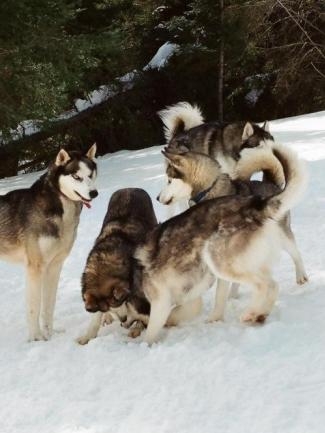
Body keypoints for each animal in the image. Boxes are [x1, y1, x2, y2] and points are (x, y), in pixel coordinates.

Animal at [0, 143, 98, 340]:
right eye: (76, 176)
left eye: (91, 174)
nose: (94, 193)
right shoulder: (35, 268)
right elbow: (34, 308)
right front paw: (36, 339)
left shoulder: (54, 266)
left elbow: (48, 306)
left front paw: (50, 334)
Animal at [136, 143, 306, 342]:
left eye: (169, 180)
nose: (157, 198)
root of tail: (258, 204)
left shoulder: (161, 298)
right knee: (266, 283)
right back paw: (257, 312)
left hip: (224, 256)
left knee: (279, 272)